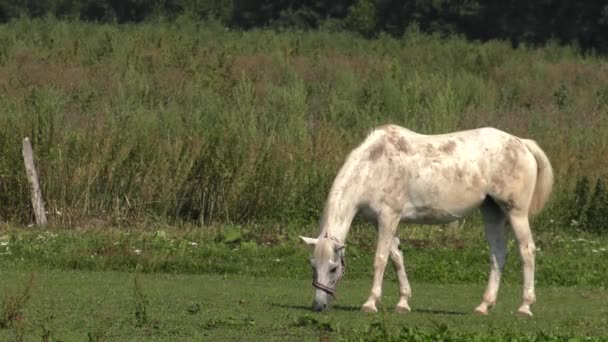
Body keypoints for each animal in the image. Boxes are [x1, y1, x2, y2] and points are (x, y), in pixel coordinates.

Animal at [300, 124, 552, 316]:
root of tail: (522, 143)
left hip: (516, 212)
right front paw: (403, 302)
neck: (375, 165)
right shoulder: (382, 222)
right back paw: (483, 306)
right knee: (498, 254)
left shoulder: (388, 218)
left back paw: (525, 307)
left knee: (527, 251)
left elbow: (380, 259)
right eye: (312, 265)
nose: (319, 306)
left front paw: (370, 303)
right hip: (492, 212)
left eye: (333, 268)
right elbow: (396, 257)